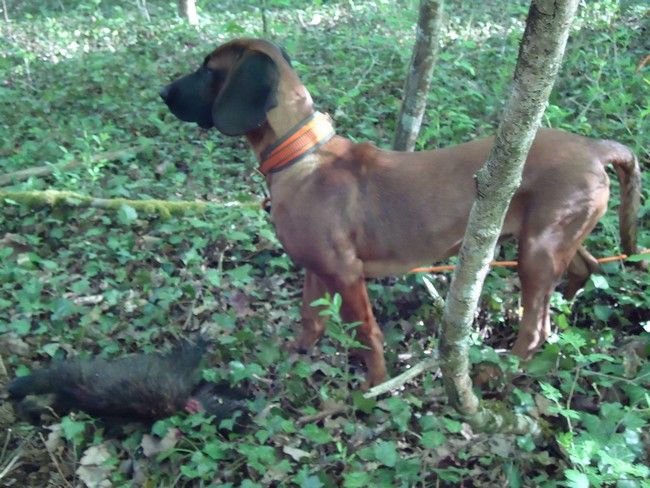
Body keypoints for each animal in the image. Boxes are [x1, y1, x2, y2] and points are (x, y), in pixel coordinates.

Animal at [161, 38, 636, 386]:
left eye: (207, 69)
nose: (162, 93)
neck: (301, 154)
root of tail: (594, 148)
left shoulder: (345, 273)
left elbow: (366, 334)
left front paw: (375, 386)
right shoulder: (316, 268)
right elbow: (310, 320)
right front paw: (295, 356)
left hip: (536, 251)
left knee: (536, 328)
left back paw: (499, 368)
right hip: (550, 239)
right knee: (585, 267)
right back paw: (566, 307)